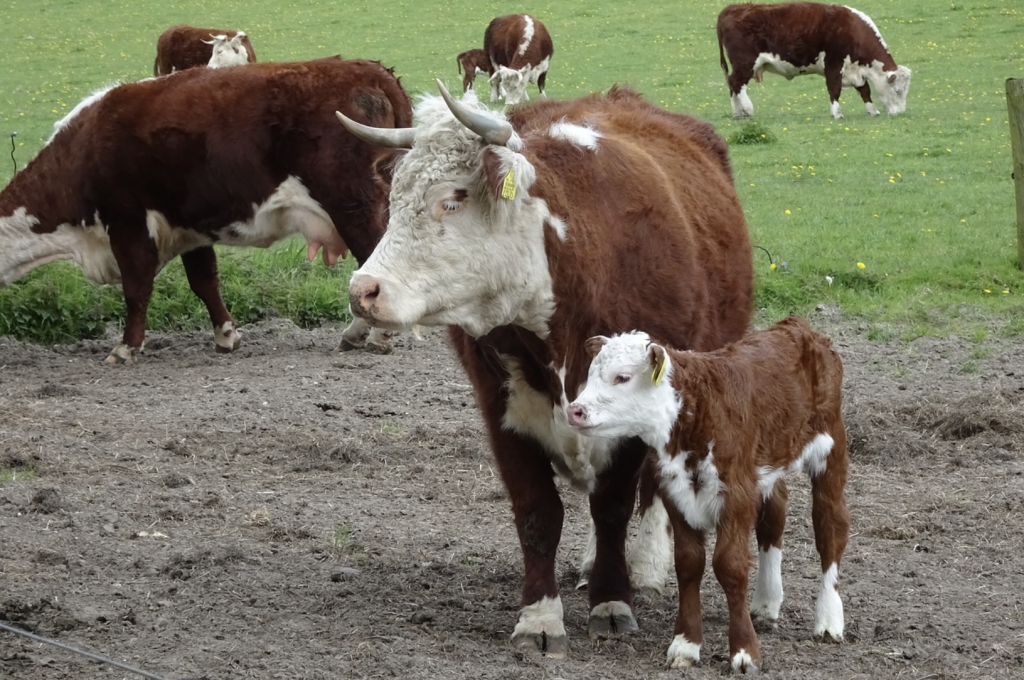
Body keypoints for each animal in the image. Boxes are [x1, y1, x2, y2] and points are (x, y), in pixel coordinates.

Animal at [4, 57, 411, 364]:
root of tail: (367, 69)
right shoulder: (190, 228)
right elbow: (204, 282)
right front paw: (226, 335)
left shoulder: (127, 222)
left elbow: (137, 288)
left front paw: (125, 348)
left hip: (353, 206)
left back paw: (370, 336)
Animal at [335, 80, 753, 659]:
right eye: (394, 199)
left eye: (452, 199)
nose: (363, 291)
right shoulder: (502, 408)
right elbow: (538, 515)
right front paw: (539, 617)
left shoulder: (631, 423)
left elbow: (614, 505)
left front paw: (612, 600)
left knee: (650, 492)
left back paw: (644, 565)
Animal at [569, 315, 847, 675]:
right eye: (590, 374)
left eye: (623, 377)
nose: (575, 410)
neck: (695, 410)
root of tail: (797, 326)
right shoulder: (676, 492)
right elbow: (688, 563)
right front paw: (685, 645)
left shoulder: (736, 494)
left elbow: (730, 566)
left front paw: (744, 651)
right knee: (774, 516)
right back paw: (767, 601)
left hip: (831, 447)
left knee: (830, 527)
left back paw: (829, 619)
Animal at [716, 2, 917, 118]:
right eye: (898, 91)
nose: (900, 113)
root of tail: (732, 8)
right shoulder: (834, 63)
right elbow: (834, 89)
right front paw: (837, 114)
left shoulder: (856, 70)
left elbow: (864, 90)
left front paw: (872, 110)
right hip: (745, 62)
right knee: (737, 82)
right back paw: (748, 109)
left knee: (732, 84)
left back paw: (738, 113)